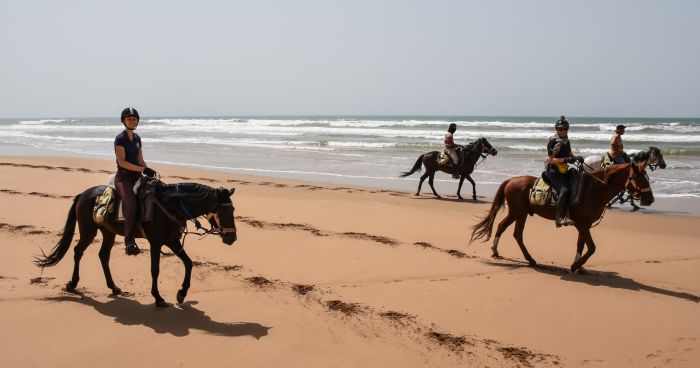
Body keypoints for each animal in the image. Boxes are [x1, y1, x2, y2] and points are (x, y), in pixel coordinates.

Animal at [34, 180, 238, 306]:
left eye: (233, 209)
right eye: (222, 211)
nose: (232, 238)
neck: (170, 206)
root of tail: (82, 194)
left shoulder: (172, 241)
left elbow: (189, 263)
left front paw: (182, 293)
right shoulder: (156, 243)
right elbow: (155, 270)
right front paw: (158, 298)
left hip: (108, 232)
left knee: (103, 255)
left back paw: (114, 287)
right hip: (88, 230)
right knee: (78, 251)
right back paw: (72, 284)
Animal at [468, 164, 652, 274]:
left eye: (647, 177)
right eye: (638, 177)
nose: (650, 199)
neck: (594, 190)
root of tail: (511, 180)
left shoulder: (584, 225)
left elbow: (581, 245)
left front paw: (579, 266)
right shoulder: (582, 225)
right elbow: (592, 247)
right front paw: (575, 266)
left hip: (515, 212)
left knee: (501, 226)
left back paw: (495, 251)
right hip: (520, 214)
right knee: (517, 234)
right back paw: (530, 259)